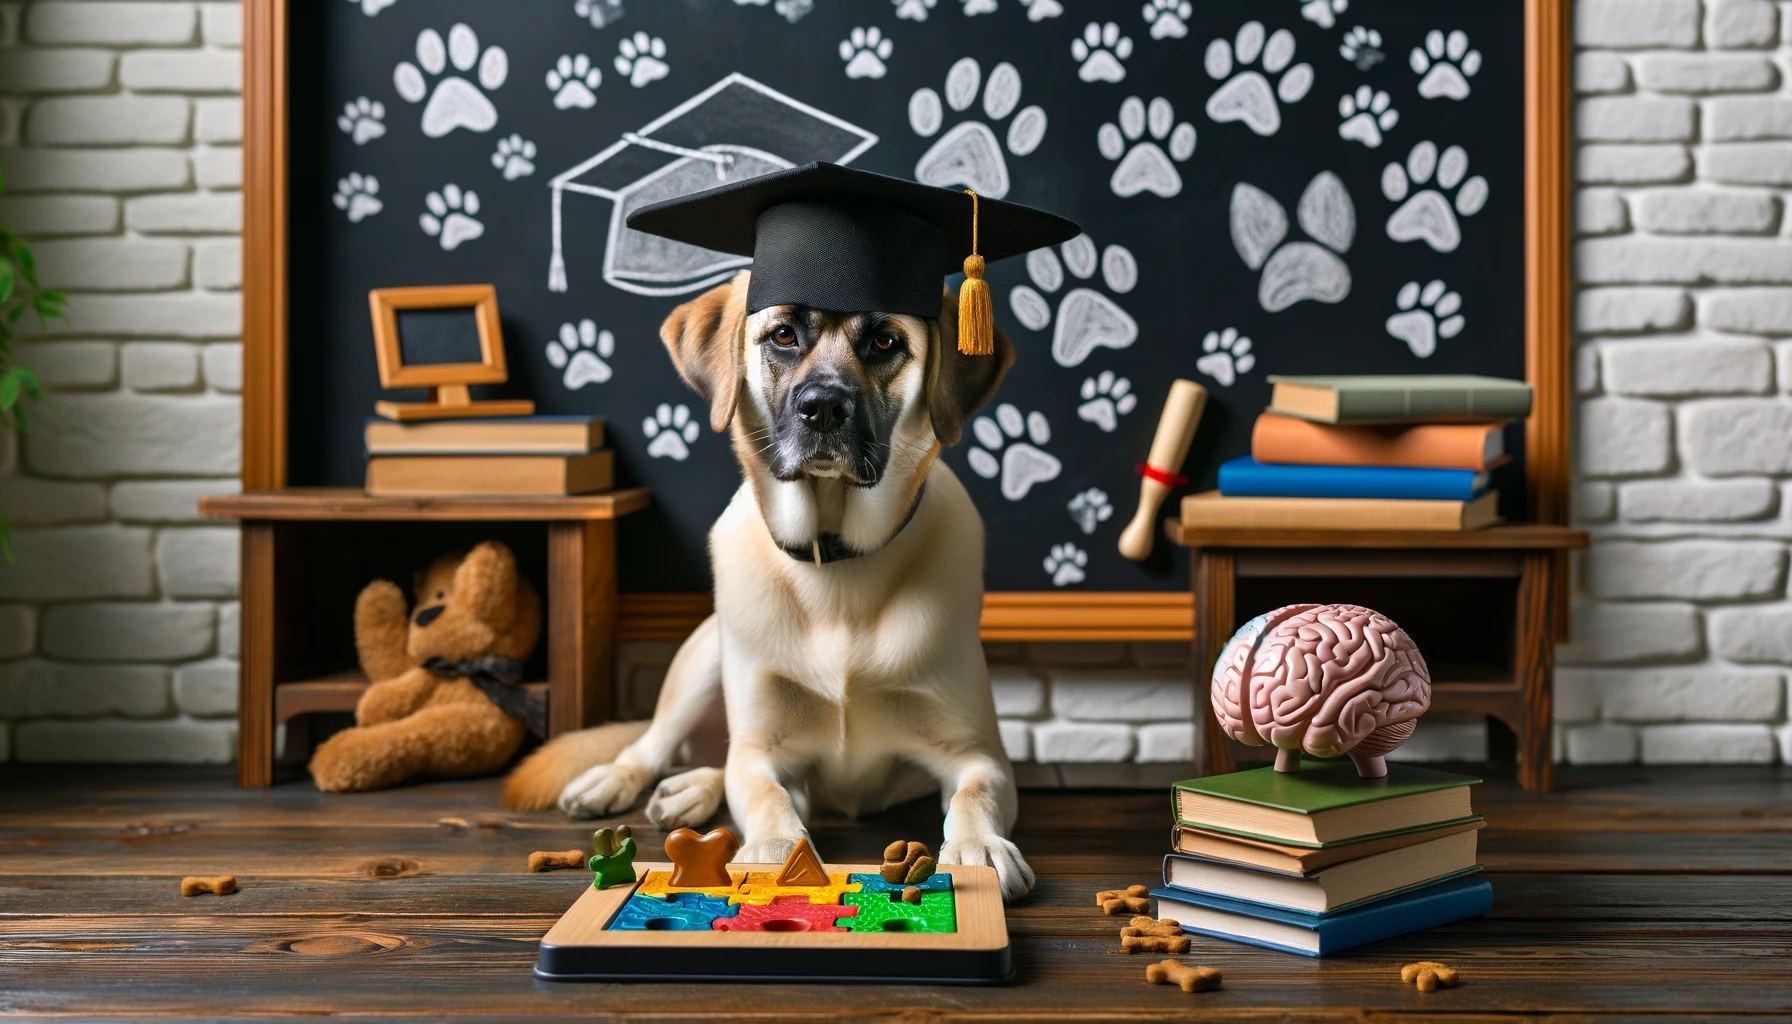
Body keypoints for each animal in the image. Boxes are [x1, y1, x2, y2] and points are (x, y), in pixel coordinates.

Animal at [505, 274, 1039, 903]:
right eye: (783, 334)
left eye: (885, 340)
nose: (823, 408)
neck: (836, 564)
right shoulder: (764, 750)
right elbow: (767, 793)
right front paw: (775, 852)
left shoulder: (977, 752)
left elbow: (972, 793)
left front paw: (979, 848)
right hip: (702, 661)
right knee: (655, 745)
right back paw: (616, 781)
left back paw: (690, 791)